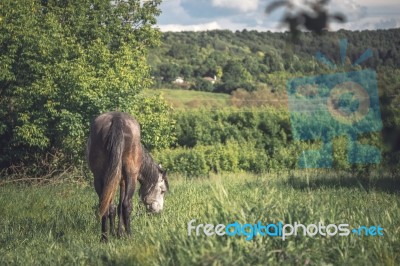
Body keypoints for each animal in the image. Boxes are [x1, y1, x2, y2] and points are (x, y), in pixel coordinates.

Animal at [86, 111, 168, 242]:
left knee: (104, 204)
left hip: (98, 177)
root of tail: (117, 118)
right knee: (126, 205)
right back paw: (129, 234)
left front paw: (114, 233)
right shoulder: (124, 181)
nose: (158, 211)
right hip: (131, 176)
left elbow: (113, 207)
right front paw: (120, 233)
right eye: (162, 191)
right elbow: (120, 206)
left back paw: (104, 238)